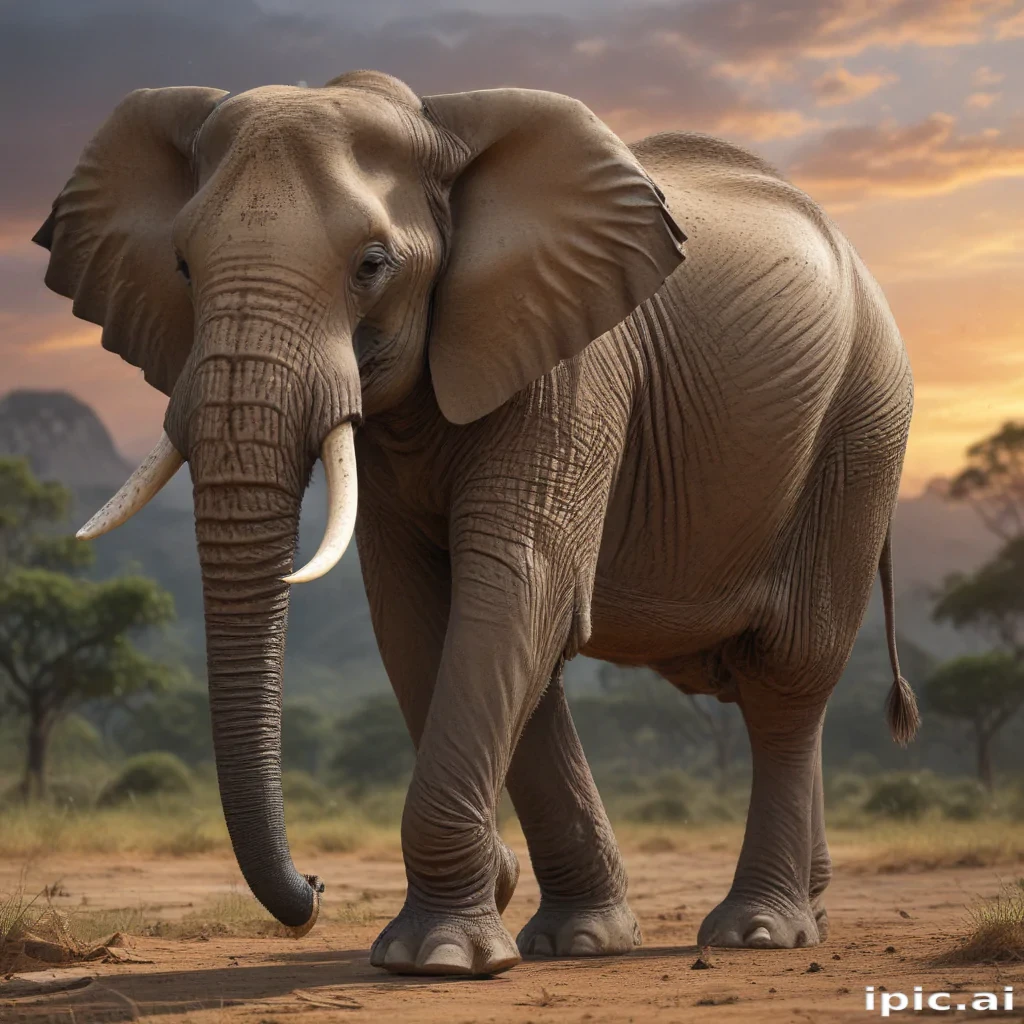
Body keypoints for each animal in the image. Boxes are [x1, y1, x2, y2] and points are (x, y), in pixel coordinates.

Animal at [33, 69, 917, 977]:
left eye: (372, 266)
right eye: (181, 265)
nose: (313, 887)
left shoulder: (571, 364)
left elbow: (518, 586)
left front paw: (438, 957)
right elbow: (424, 612)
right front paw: (564, 935)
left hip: (862, 428)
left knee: (789, 677)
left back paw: (758, 931)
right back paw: (779, 915)